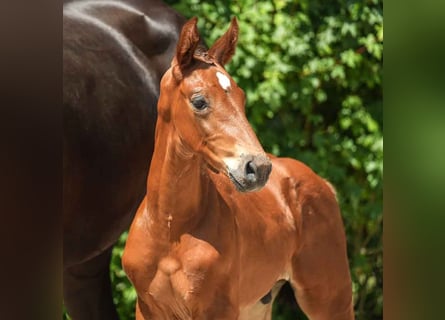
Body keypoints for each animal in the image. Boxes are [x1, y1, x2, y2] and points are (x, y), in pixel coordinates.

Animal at [122, 18, 354, 320]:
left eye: (242, 98)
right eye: (199, 101)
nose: (259, 168)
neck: (170, 230)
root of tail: (322, 183)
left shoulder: (218, 308)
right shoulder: (148, 308)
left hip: (329, 297)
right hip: (258, 304)